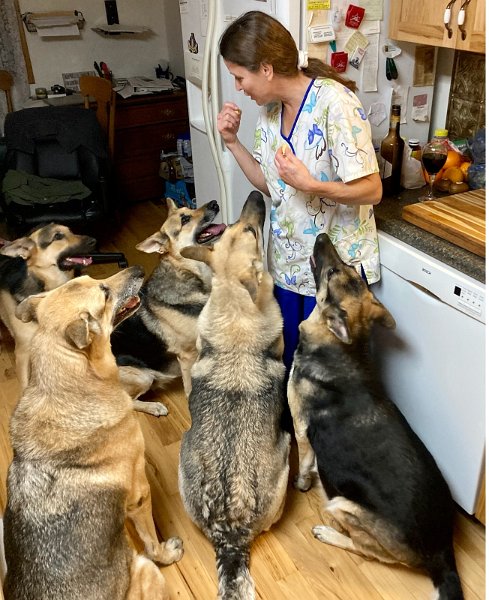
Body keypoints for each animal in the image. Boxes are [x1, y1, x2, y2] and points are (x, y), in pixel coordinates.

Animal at [3, 268, 183, 600]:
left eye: (91, 278)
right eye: (105, 294)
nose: (139, 270)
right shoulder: (140, 494)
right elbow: (152, 543)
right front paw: (168, 552)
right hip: (145, 569)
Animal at [110, 196, 225, 412]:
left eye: (190, 209)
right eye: (185, 219)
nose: (215, 202)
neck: (190, 272)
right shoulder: (188, 355)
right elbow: (190, 387)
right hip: (143, 376)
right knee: (128, 402)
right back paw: (154, 407)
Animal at [286, 233, 462, 600]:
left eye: (332, 271)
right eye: (350, 269)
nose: (322, 235)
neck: (341, 346)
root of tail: (442, 552)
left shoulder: (301, 429)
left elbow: (305, 463)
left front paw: (302, 483)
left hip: (342, 504)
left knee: (366, 550)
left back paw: (328, 533)